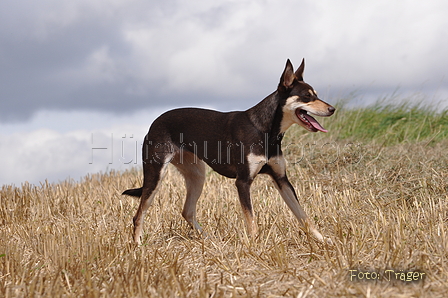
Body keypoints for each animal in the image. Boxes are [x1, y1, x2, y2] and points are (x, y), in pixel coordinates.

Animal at [121, 58, 332, 244]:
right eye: (307, 96)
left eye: (316, 94)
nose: (332, 109)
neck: (264, 130)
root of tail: (153, 124)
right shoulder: (243, 182)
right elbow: (251, 220)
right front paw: (256, 246)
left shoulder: (281, 179)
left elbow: (303, 215)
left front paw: (323, 240)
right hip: (156, 174)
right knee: (139, 215)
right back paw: (138, 245)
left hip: (197, 175)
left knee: (187, 211)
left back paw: (209, 239)